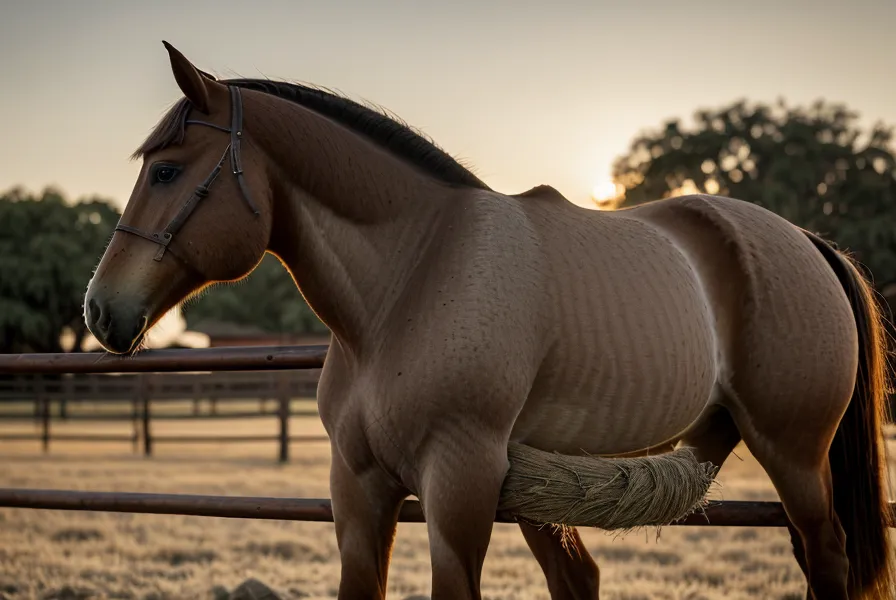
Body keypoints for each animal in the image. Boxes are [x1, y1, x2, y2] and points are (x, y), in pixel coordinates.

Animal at [84, 42, 893, 599]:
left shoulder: (460, 488)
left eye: (167, 170)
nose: (100, 309)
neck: (410, 281)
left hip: (794, 453)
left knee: (826, 558)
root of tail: (805, 242)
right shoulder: (360, 492)